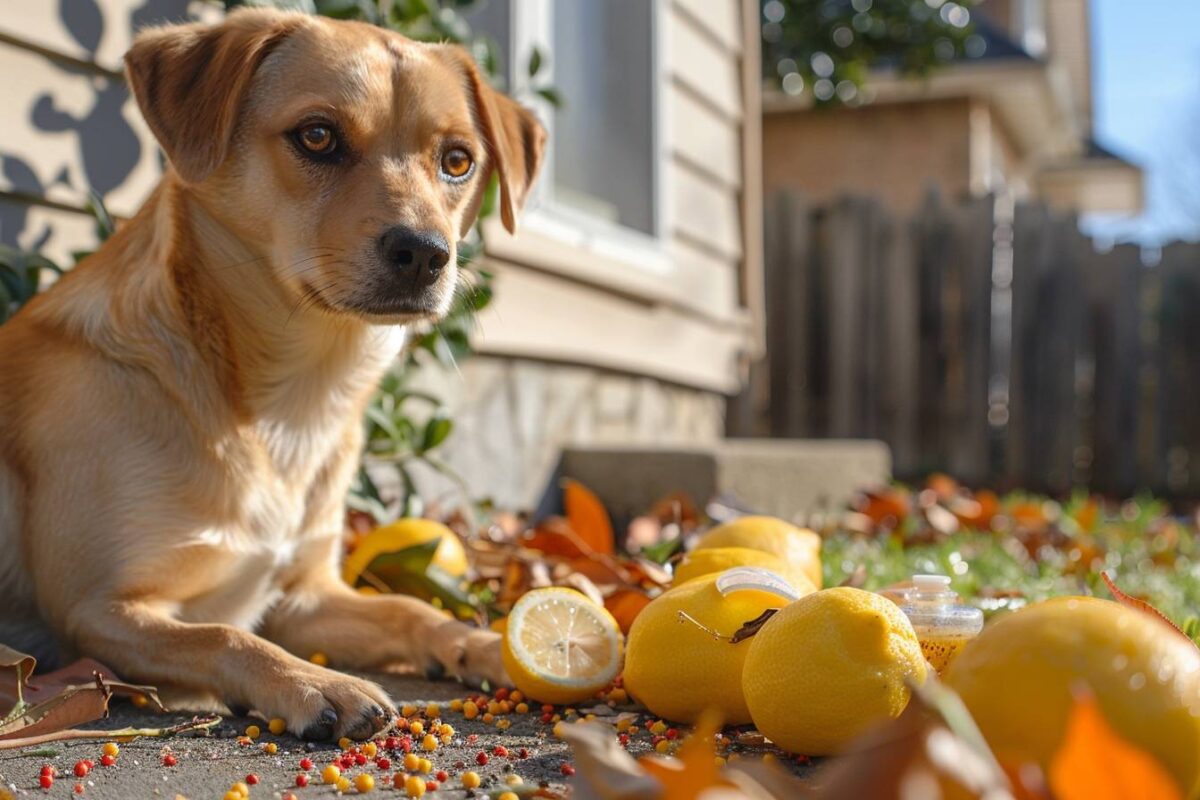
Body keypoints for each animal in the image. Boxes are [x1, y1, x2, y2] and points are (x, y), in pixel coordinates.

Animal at [0, 9, 544, 743]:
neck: (288, 404)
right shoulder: (98, 610)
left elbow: (409, 608)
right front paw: (314, 682)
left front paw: (487, 642)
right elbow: (222, 636)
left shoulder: (303, 597)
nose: (426, 254)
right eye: (317, 136)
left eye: (457, 160)